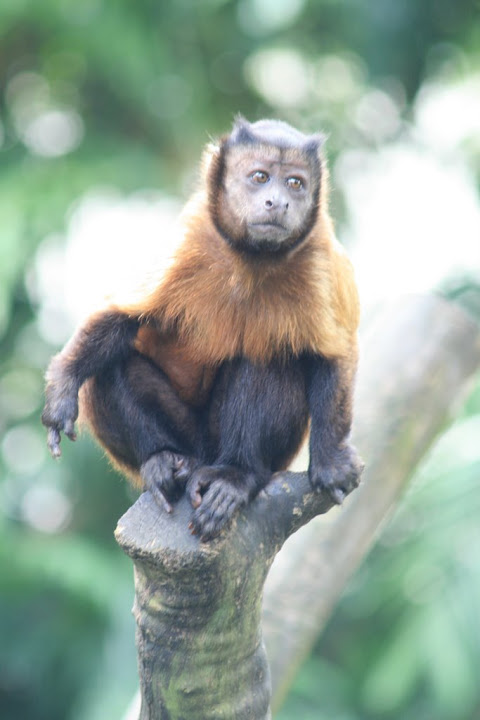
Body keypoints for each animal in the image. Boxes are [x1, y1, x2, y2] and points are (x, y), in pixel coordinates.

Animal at [42, 116, 363, 541]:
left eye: (295, 183)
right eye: (260, 177)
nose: (278, 202)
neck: (251, 258)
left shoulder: (321, 258)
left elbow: (334, 355)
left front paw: (330, 462)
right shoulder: (190, 238)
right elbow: (122, 317)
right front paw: (62, 389)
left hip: (257, 452)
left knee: (267, 357)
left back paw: (235, 476)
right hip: (187, 442)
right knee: (110, 368)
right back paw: (161, 461)